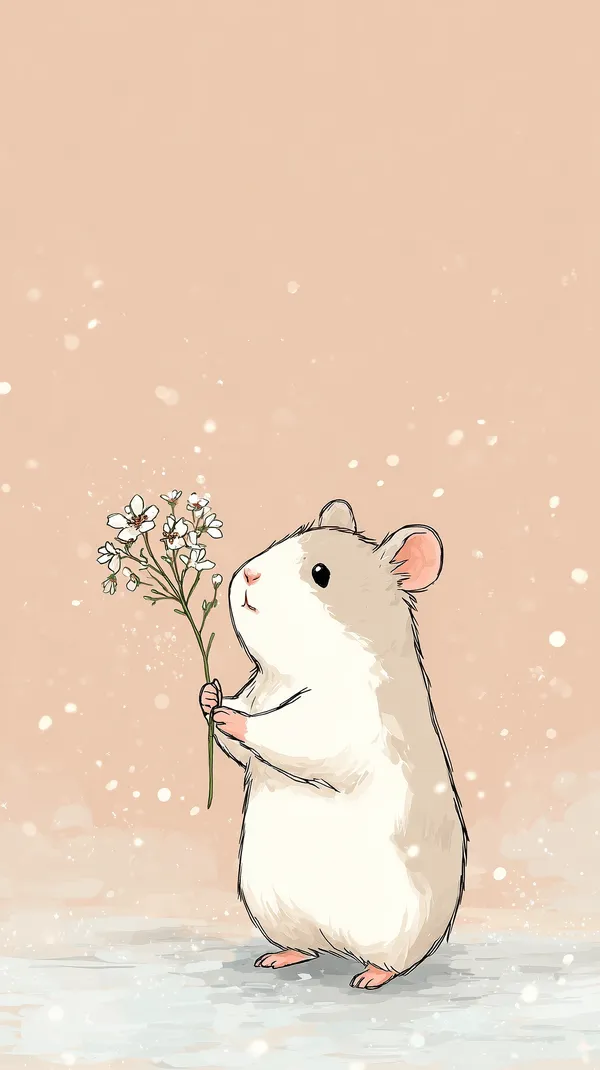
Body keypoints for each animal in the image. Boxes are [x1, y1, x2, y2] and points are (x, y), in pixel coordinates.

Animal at [199, 498, 467, 991]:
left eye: (320, 573)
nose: (248, 575)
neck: (295, 670)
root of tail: (338, 945)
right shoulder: (257, 689)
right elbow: (241, 737)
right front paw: (210, 697)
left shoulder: (342, 717)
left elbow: (290, 733)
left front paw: (231, 718)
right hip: (270, 904)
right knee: (301, 946)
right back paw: (277, 958)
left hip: (394, 926)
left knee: (392, 962)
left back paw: (369, 979)